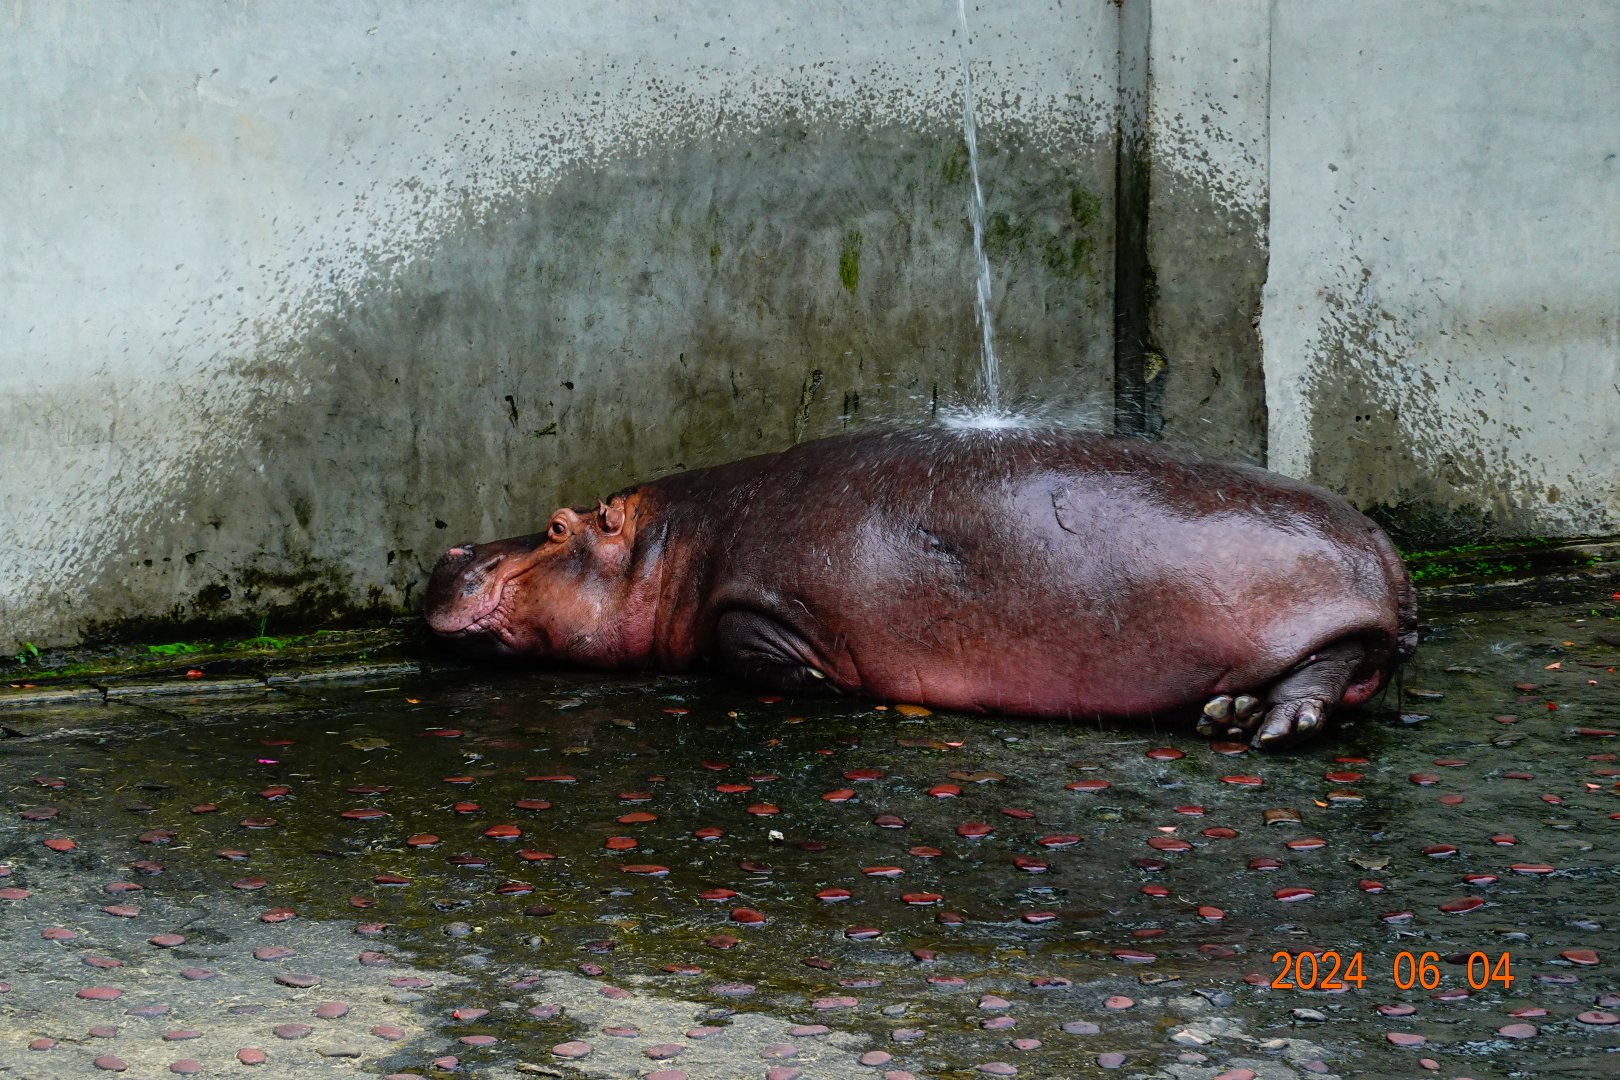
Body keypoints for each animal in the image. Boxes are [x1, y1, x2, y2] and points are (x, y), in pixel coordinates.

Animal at [425, 428, 1417, 747]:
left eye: (558, 526)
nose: (451, 548)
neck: (679, 545)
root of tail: (1389, 550)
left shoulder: (761, 603)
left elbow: (747, 646)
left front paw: (822, 684)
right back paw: (1228, 715)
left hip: (1339, 627)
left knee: (1335, 668)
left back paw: (1271, 728)